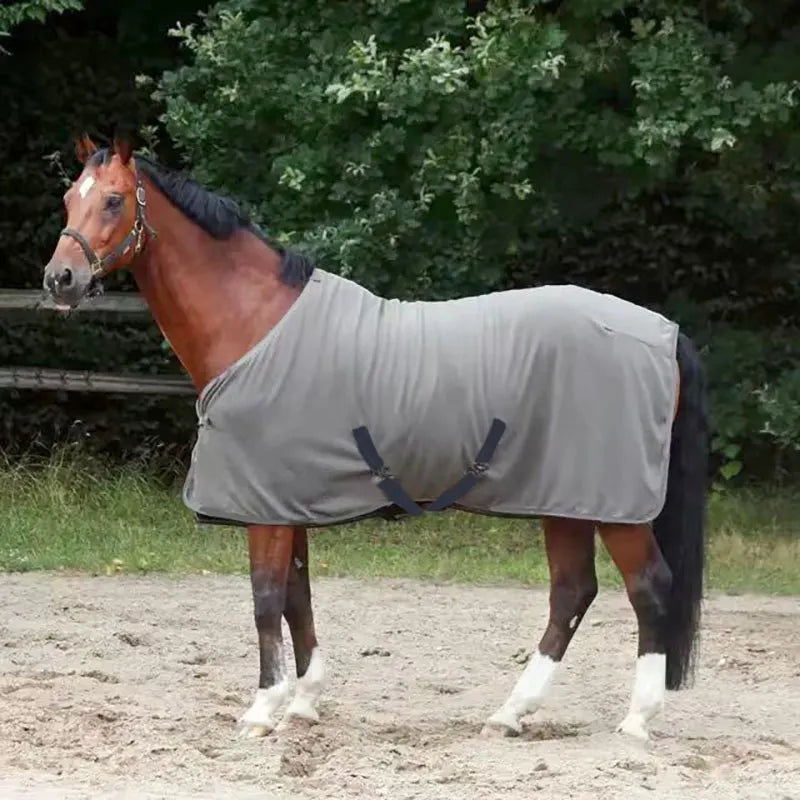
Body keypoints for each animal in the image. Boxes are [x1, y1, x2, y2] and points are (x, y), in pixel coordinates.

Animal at [42, 135, 708, 742]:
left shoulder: (265, 508)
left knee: (648, 588)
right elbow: (297, 595)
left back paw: (636, 720)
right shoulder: (287, 499)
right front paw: (305, 703)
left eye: (113, 200)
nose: (59, 278)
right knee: (572, 593)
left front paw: (263, 710)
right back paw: (510, 714)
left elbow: (265, 597)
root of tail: (664, 332)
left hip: (614, 507)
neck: (255, 322)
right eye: (69, 199)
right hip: (565, 500)